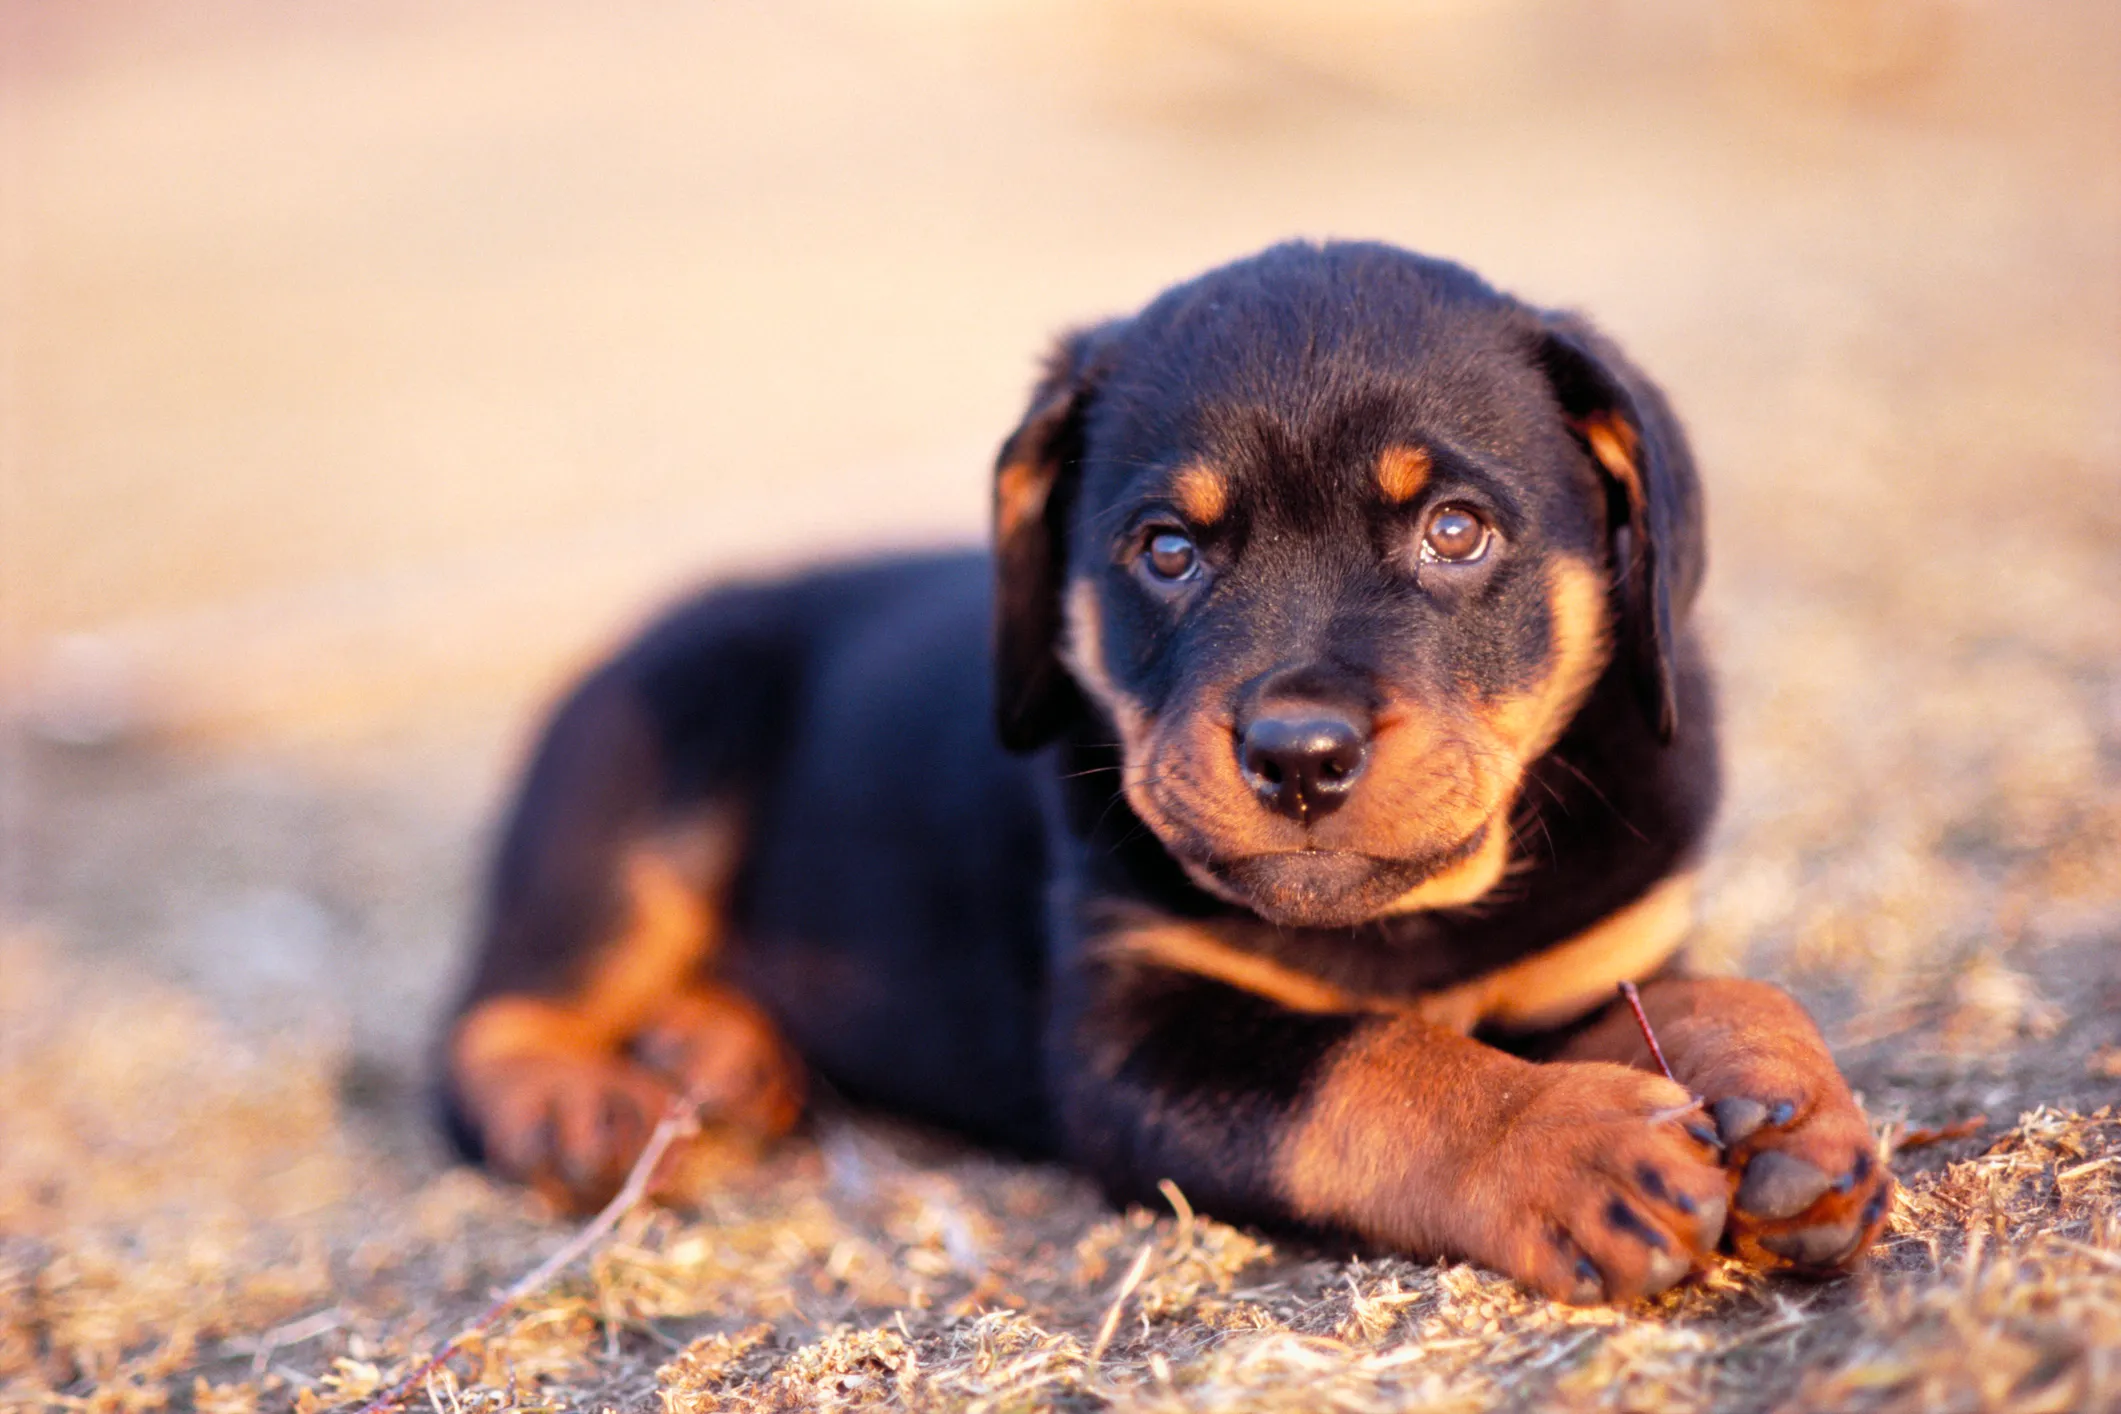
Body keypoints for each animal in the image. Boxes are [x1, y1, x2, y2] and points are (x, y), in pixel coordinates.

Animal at [439, 240, 1900, 1305]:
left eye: (1455, 530)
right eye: (1166, 550)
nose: (1298, 754)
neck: (1403, 925)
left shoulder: (1598, 952)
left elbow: (1708, 990)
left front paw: (1792, 1117)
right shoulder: (1136, 1044)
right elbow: (1374, 1066)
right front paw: (1573, 1146)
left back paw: (719, 1056)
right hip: (646, 777)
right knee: (483, 1021)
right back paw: (582, 1105)